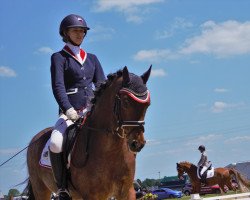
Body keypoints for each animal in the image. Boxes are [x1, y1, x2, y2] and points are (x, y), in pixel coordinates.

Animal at [25, 66, 151, 199]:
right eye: (126, 101)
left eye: (148, 104)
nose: (138, 143)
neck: (111, 150)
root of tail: (35, 139)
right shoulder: (92, 195)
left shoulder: (127, 192)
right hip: (41, 189)